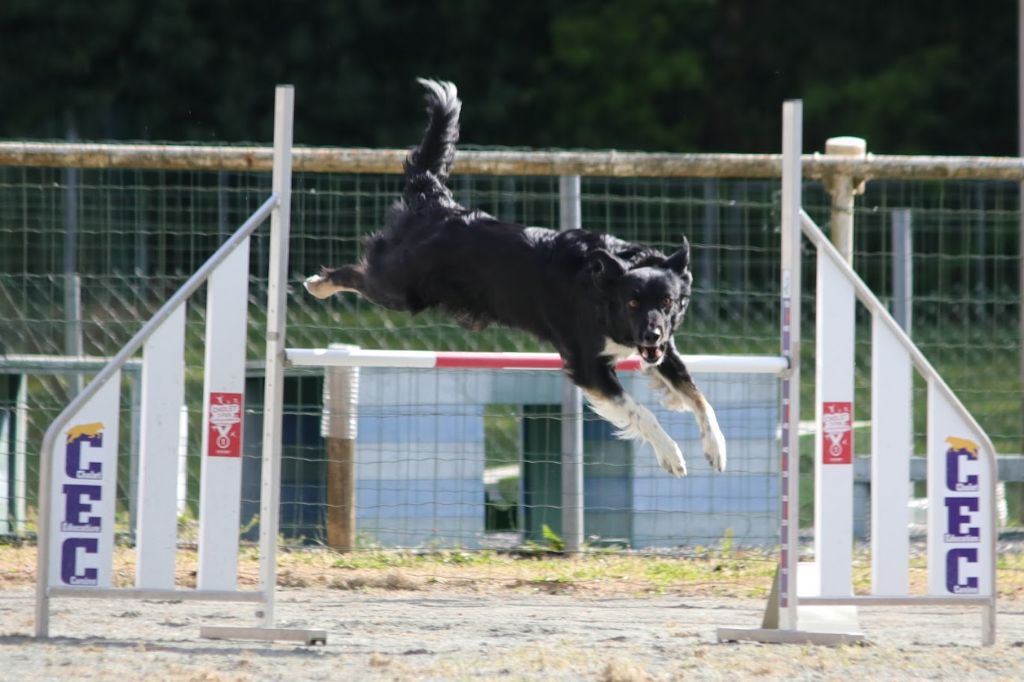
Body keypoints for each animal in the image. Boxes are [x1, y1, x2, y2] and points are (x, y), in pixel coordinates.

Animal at [305, 76, 729, 475]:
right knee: (355, 271)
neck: (600, 291)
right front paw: (672, 454)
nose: (652, 333)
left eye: (667, 302)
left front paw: (716, 447)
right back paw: (319, 284)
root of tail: (437, 203)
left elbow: (698, 395)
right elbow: (641, 412)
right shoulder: (588, 366)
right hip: (398, 289)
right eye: (633, 302)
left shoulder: (662, 348)